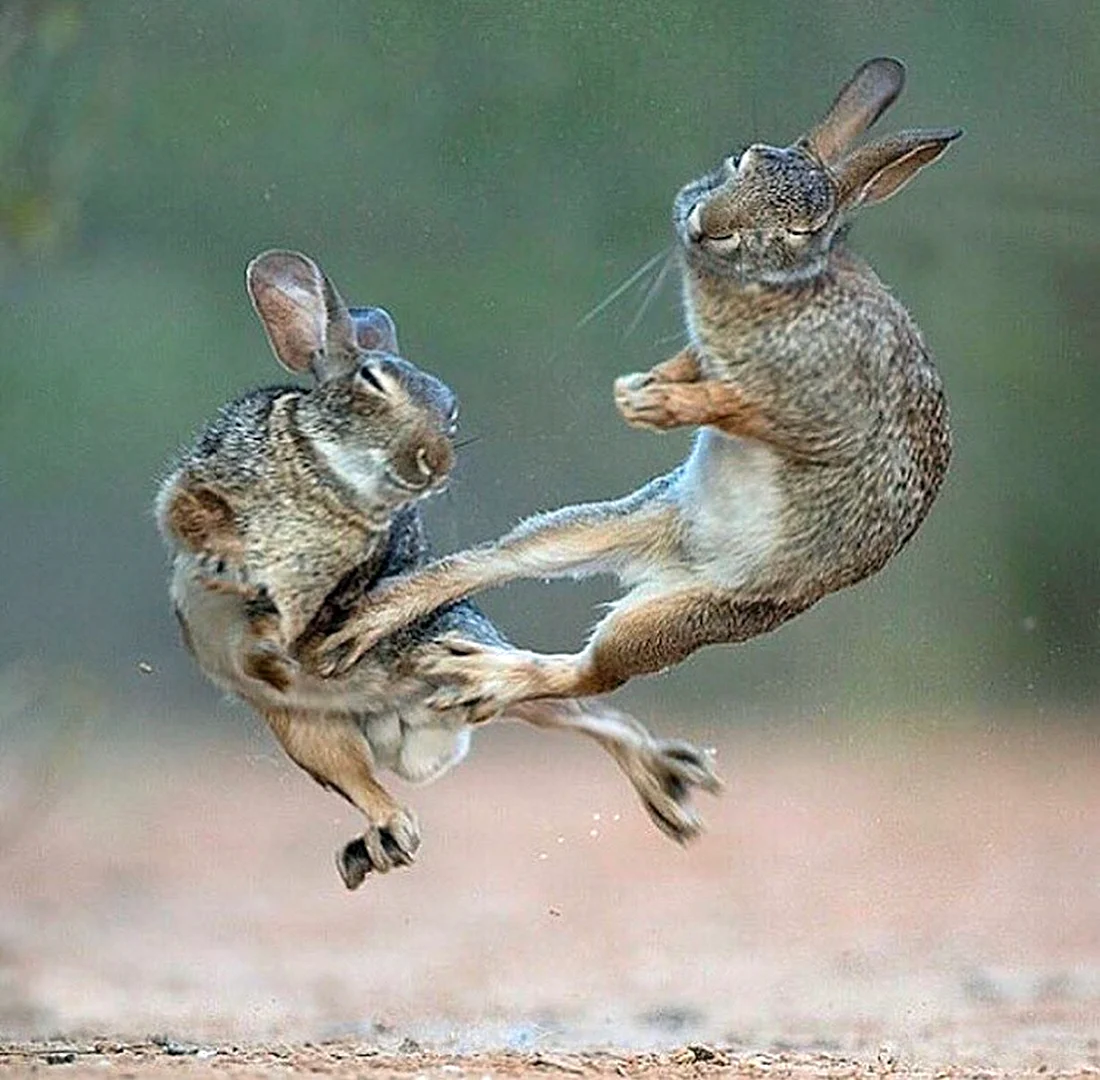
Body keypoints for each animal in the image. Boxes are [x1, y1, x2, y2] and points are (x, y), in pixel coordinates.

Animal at [157, 250, 721, 888]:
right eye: (372, 381)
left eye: (451, 411)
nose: (435, 460)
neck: (328, 478)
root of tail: (416, 734)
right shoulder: (202, 485)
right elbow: (193, 516)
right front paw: (232, 570)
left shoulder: (346, 583)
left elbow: (312, 611)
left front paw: (275, 638)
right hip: (307, 730)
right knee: (371, 786)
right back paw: (379, 846)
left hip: (451, 662)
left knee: (587, 713)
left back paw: (672, 784)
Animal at [298, 58, 960, 720]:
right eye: (742, 159)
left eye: (804, 228)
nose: (704, 225)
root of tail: (669, 559)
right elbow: (697, 366)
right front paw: (644, 389)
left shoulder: (819, 410)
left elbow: (745, 407)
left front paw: (657, 404)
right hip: (609, 522)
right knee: (499, 560)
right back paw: (372, 622)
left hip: (684, 616)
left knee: (594, 675)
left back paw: (482, 675)